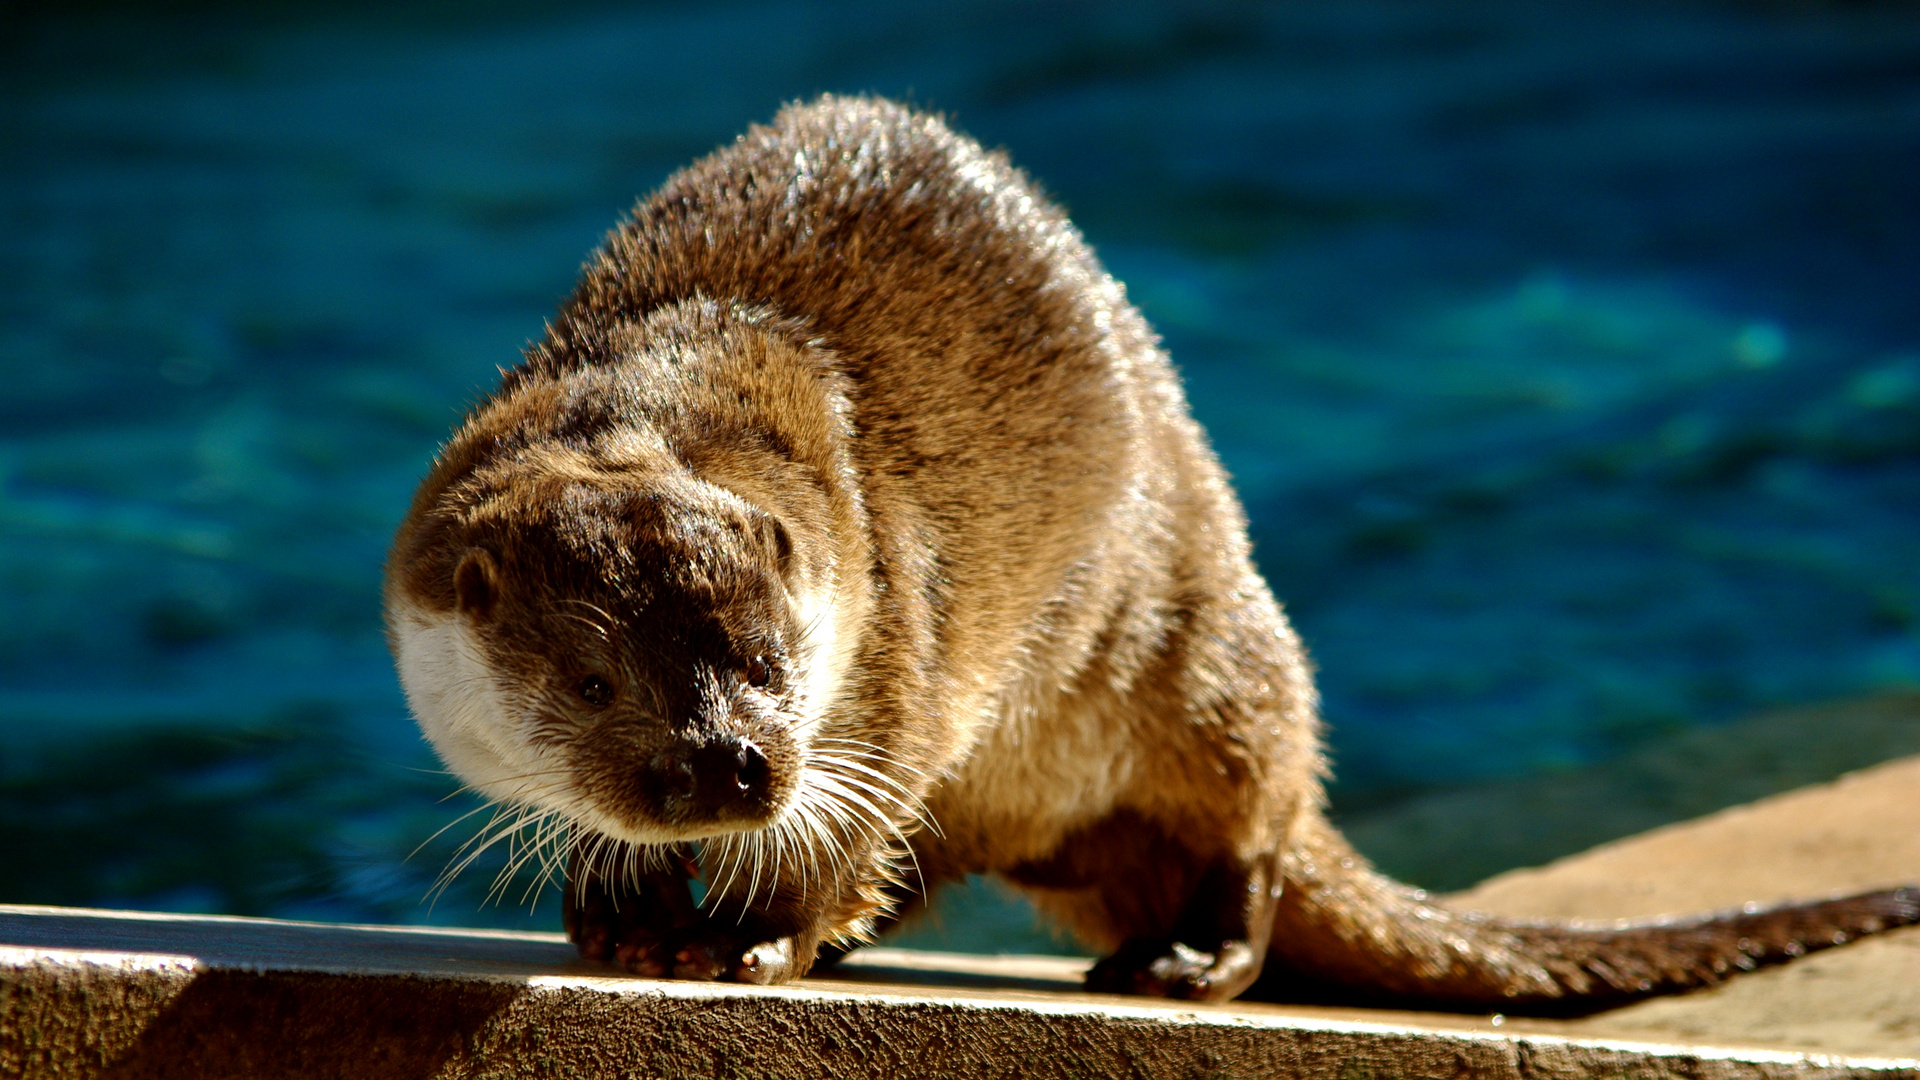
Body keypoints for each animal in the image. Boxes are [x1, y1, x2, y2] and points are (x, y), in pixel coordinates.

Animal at [382, 94, 1912, 1006]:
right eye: (592, 681)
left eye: (771, 657)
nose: (732, 766)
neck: (677, 379)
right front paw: (620, 915)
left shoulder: (890, 648)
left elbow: (854, 816)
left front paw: (749, 940)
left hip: (1202, 633)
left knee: (1258, 813)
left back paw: (1183, 954)